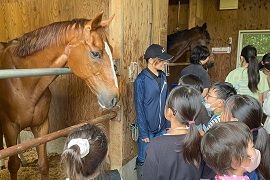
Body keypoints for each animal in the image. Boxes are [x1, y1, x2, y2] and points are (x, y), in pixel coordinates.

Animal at [0, 11, 119, 179]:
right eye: (95, 53)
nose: (114, 98)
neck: (23, 80)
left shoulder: (41, 127)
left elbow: (43, 165)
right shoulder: (9, 126)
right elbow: (13, 165)